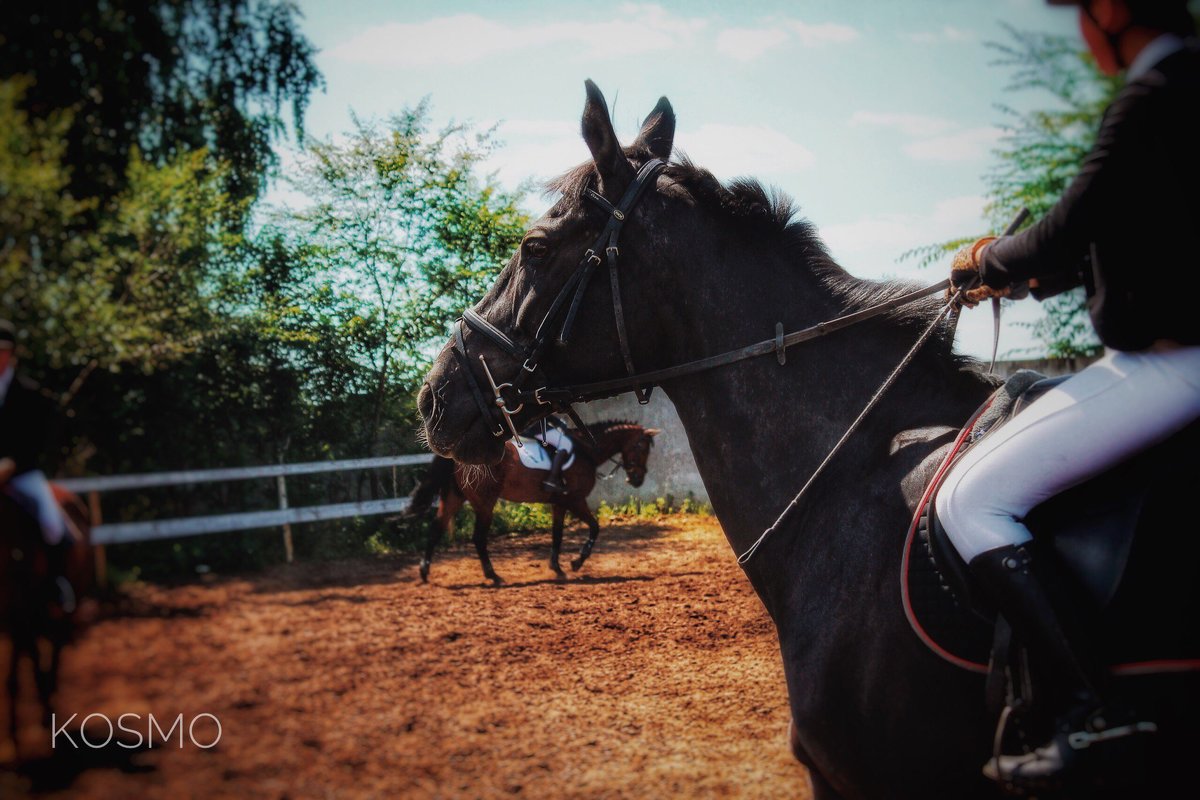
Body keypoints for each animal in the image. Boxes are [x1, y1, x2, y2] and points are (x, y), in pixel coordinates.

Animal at [410, 419, 657, 582]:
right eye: (642, 447)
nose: (637, 479)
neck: (585, 451)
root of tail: (456, 457)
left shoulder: (560, 504)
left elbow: (557, 534)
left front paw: (557, 567)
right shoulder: (575, 500)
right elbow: (595, 528)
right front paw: (577, 562)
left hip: (455, 496)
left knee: (436, 528)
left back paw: (424, 571)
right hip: (485, 502)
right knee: (478, 538)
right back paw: (493, 575)